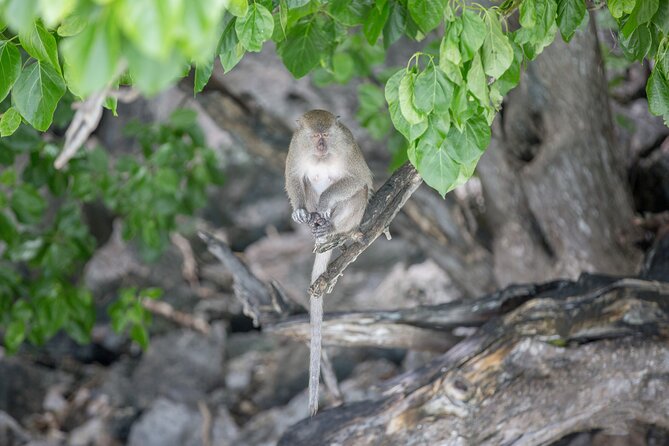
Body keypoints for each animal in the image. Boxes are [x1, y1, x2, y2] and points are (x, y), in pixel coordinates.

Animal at [285, 110, 373, 415]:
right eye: (314, 137)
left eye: (326, 136)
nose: (322, 146)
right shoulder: (296, 146)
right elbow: (294, 176)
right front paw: (300, 211)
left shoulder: (346, 146)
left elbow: (360, 177)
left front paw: (325, 203)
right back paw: (313, 221)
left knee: (358, 191)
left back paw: (333, 228)